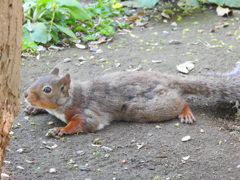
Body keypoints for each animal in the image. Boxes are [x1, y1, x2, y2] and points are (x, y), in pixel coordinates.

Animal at [23, 64, 240, 138]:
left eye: (47, 90)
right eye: (36, 79)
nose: (25, 95)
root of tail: (168, 79)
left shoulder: (87, 111)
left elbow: (84, 123)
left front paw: (60, 130)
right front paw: (34, 109)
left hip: (145, 108)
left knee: (180, 101)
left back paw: (185, 112)